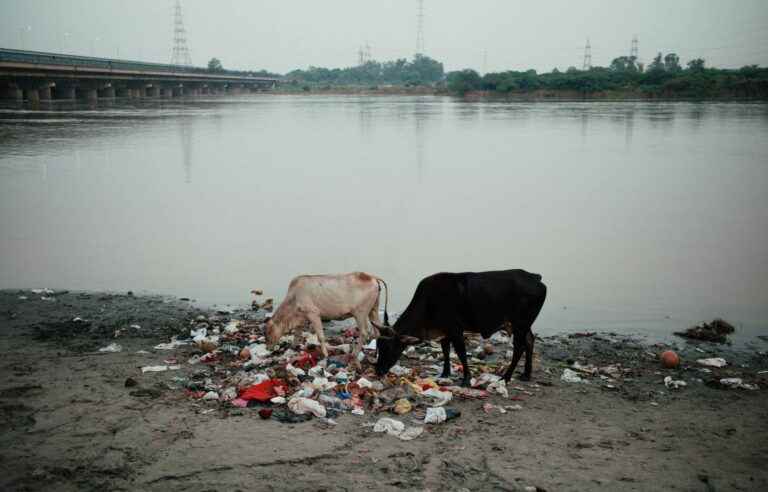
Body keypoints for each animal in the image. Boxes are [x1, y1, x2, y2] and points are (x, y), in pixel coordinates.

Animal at [374, 270, 544, 386]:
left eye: (389, 347)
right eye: (378, 347)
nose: (378, 371)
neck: (429, 303)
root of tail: (535, 277)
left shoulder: (456, 330)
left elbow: (461, 353)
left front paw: (466, 379)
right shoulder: (444, 332)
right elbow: (445, 351)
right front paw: (445, 373)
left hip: (520, 324)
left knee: (519, 347)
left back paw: (506, 377)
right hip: (523, 325)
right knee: (530, 341)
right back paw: (526, 374)